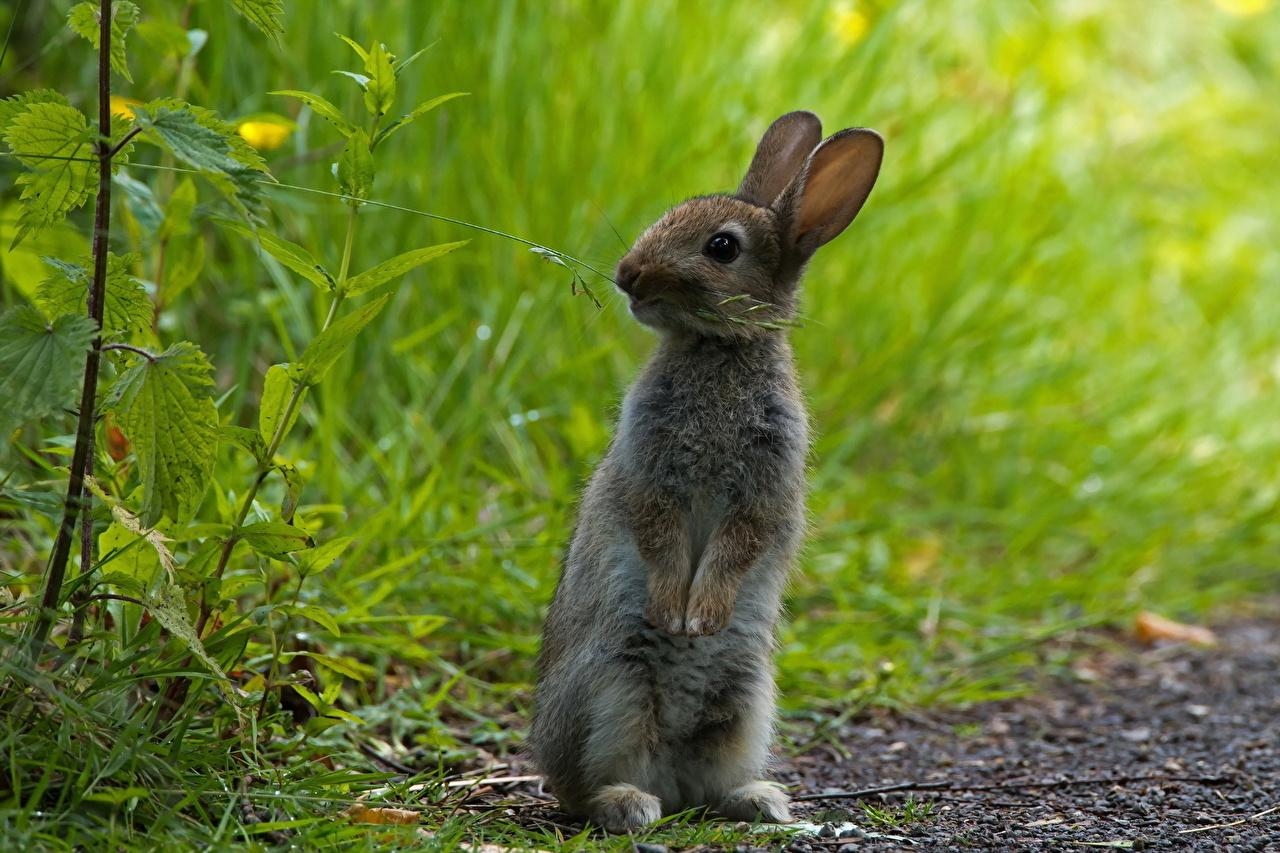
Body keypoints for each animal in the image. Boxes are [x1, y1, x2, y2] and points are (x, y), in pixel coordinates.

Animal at [527, 108, 880, 829]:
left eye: (722, 247)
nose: (628, 275)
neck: (719, 349)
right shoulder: (651, 474)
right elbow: (659, 532)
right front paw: (675, 615)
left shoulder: (764, 492)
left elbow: (738, 544)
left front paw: (702, 620)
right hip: (613, 686)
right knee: (582, 789)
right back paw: (630, 804)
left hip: (745, 702)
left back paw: (758, 798)